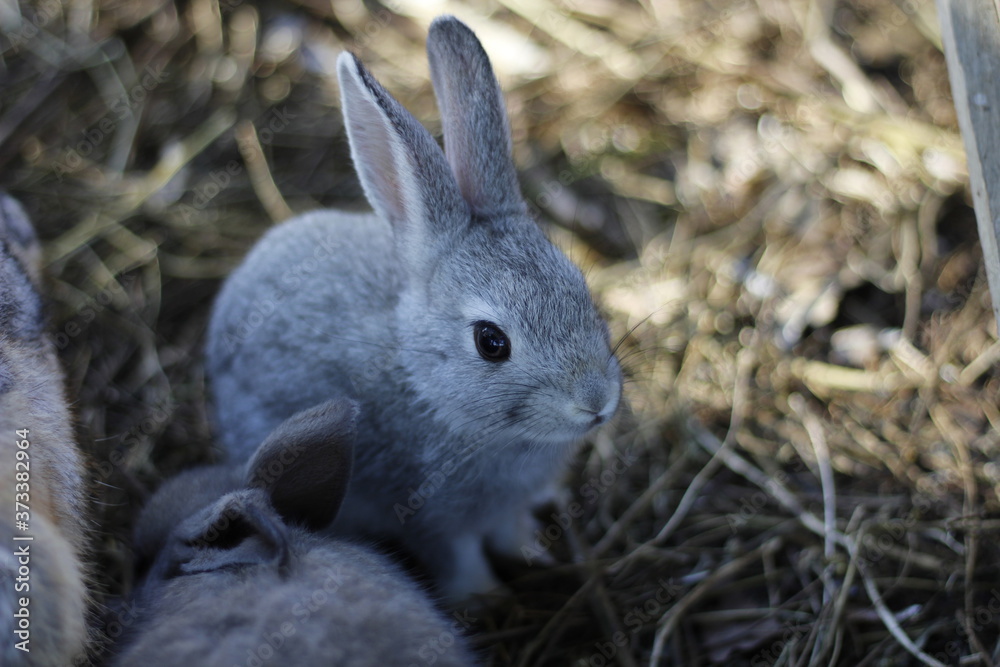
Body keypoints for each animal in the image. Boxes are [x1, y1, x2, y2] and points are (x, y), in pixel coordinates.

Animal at [205, 15, 622, 600]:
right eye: (491, 342)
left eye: (582, 291)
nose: (596, 402)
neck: (427, 387)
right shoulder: (431, 517)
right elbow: (459, 558)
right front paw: (485, 596)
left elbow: (509, 529)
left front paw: (530, 553)